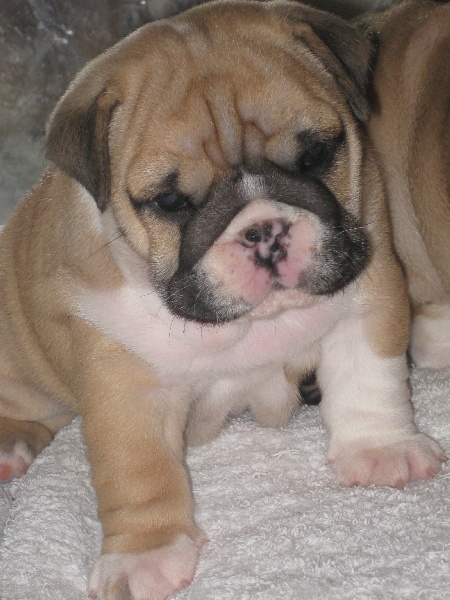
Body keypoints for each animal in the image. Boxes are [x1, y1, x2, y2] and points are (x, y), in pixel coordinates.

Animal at [0, 1, 447, 598]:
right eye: (171, 202)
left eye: (315, 154)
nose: (264, 231)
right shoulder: (126, 386)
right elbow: (137, 468)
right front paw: (145, 555)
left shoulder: (367, 291)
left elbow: (368, 377)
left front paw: (380, 450)